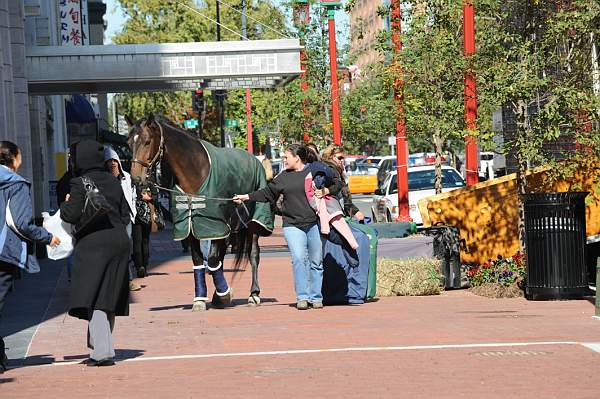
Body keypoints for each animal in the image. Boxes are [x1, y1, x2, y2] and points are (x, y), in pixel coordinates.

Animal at [130, 114, 276, 310]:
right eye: (129, 142)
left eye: (146, 141)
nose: (136, 178)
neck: (196, 171)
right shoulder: (192, 226)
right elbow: (199, 262)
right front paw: (201, 299)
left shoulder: (214, 225)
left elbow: (213, 259)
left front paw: (224, 296)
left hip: (251, 224)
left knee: (253, 254)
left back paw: (254, 294)